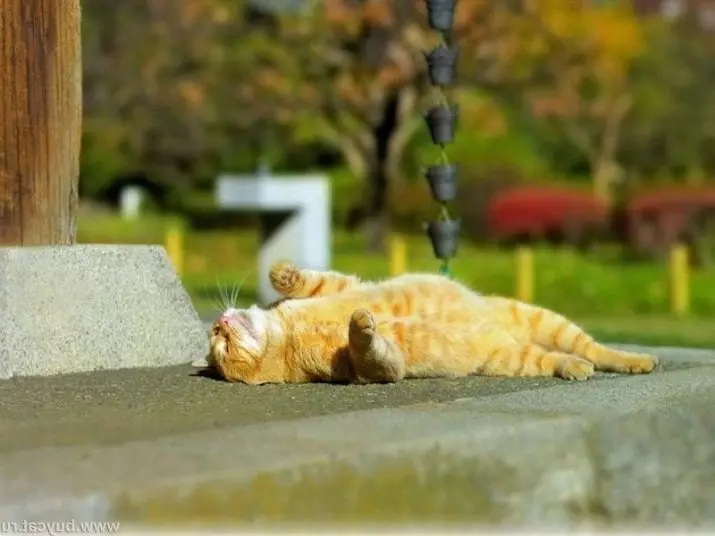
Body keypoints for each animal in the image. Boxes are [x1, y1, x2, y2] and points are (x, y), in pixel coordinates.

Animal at [194, 260, 660, 384]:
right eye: (221, 346)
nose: (219, 321)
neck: (287, 332)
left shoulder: (343, 284)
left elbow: (314, 280)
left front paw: (281, 273)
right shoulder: (373, 369)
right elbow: (369, 351)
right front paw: (360, 326)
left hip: (542, 319)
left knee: (597, 348)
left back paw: (635, 360)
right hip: (515, 356)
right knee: (558, 359)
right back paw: (576, 368)